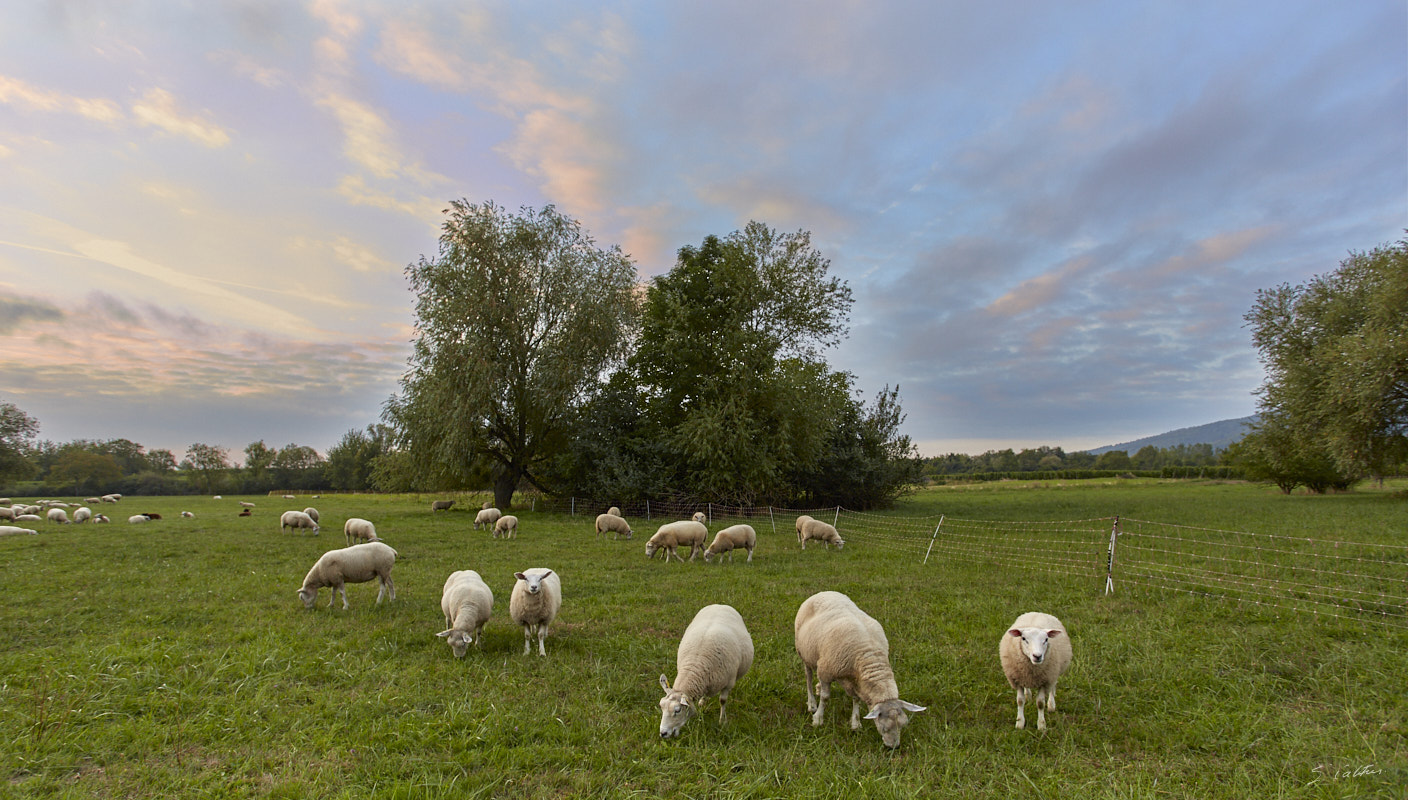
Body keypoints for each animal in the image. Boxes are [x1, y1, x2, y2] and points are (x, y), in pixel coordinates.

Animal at [661, 602, 760, 738]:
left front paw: (722, 722)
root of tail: (720, 604)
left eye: (678, 710)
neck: (696, 665)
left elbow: (722, 701)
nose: (663, 733)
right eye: (661, 706)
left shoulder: (728, 683)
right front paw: (702, 703)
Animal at [794, 588, 923, 749]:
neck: (868, 656)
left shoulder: (855, 679)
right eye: (884, 727)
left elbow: (856, 698)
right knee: (808, 677)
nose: (894, 747)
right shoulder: (825, 672)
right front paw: (818, 719)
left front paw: (855, 723)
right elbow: (825, 697)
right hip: (805, 653)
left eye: (902, 725)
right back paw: (811, 703)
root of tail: (824, 592)